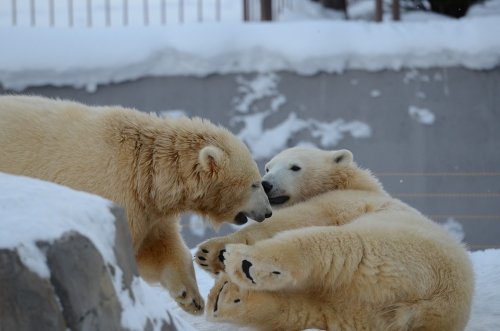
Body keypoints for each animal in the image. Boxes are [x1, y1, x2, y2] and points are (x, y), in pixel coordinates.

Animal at [197, 148, 474, 331]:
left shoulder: (340, 200)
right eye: (268, 167)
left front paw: (213, 250)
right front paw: (209, 259)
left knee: (330, 245)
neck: (354, 183)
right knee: (306, 309)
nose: (266, 184)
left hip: (393, 250)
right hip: (362, 314)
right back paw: (226, 296)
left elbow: (296, 218)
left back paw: (244, 263)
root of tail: (428, 304)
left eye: (295, 167)